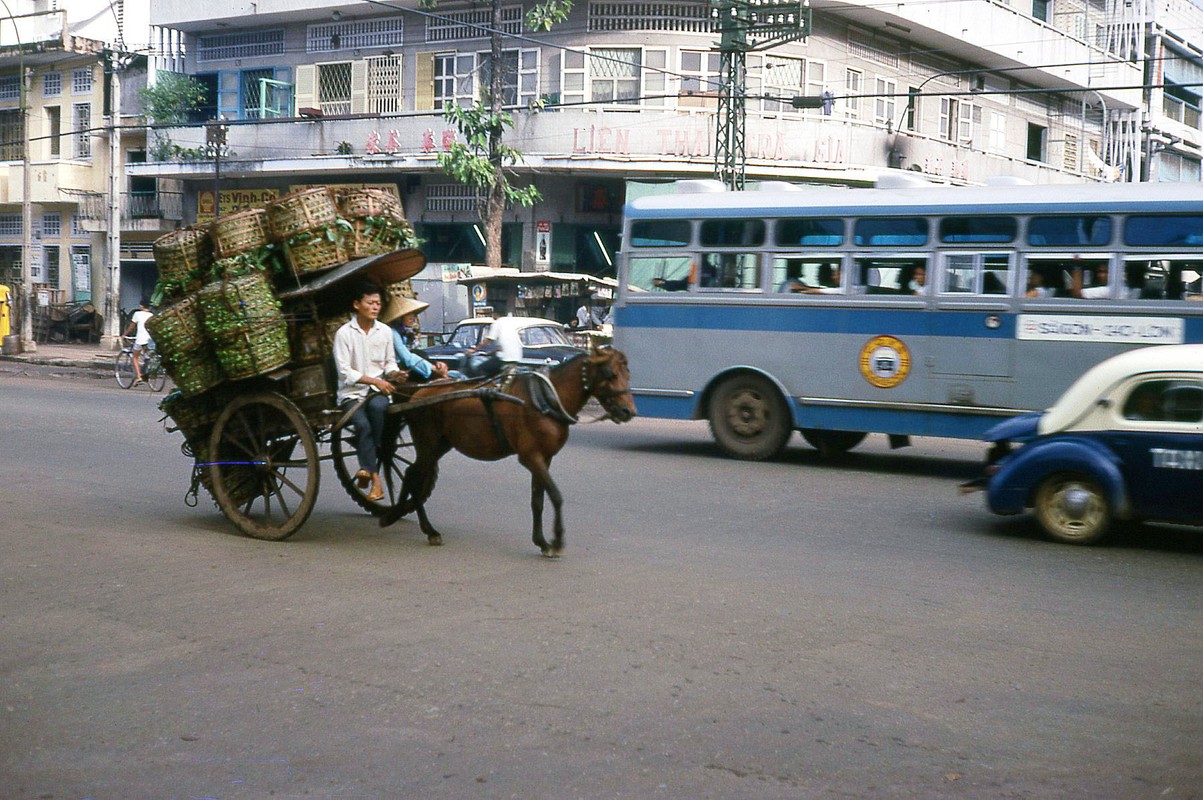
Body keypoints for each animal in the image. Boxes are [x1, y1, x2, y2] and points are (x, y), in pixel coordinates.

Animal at [377, 344, 639, 555]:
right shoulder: (531, 457)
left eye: (628, 374)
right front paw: (556, 540)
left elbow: (538, 500)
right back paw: (426, 528)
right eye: (610, 373)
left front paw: (542, 541)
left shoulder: (545, 458)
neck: (546, 398)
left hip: (441, 444)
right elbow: (555, 495)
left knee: (411, 473)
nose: (628, 412)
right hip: (427, 442)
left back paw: (396, 514)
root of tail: (417, 392)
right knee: (415, 477)